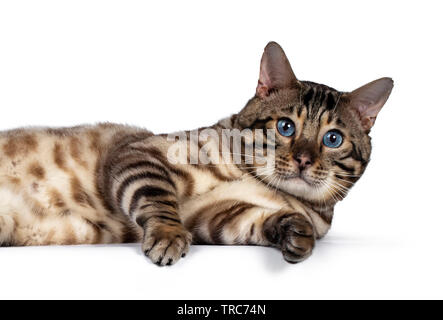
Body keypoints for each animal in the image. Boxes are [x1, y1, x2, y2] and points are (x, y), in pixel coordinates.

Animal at [0, 43, 394, 268]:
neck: (260, 182)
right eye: (285, 127)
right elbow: (158, 199)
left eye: (332, 139)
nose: (303, 160)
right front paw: (167, 237)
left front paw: (297, 234)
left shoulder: (217, 218)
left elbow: (265, 222)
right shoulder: (141, 154)